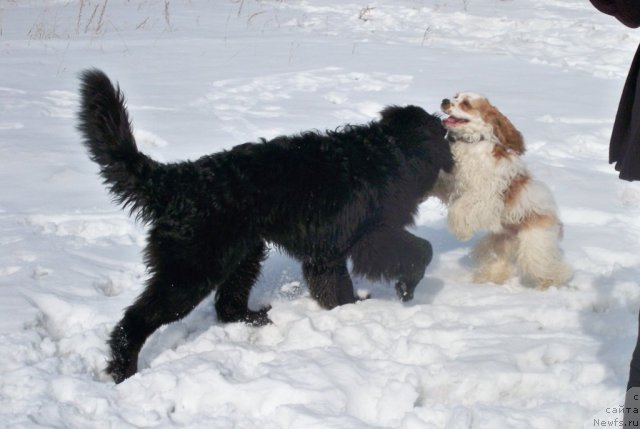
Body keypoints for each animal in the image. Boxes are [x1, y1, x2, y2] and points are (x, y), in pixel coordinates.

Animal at [77, 69, 452, 382]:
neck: (386, 152)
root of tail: (177, 181)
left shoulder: (326, 253)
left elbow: (334, 286)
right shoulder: (367, 237)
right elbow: (421, 250)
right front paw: (402, 290)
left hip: (242, 253)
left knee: (227, 306)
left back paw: (254, 319)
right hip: (191, 270)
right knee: (133, 322)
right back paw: (124, 372)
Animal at [438, 92, 572, 290]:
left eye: (466, 104)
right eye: (455, 96)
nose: (445, 101)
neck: (472, 144)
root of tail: (556, 221)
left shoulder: (485, 195)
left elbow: (459, 208)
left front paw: (461, 230)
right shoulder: (452, 183)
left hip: (534, 244)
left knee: (548, 268)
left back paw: (552, 282)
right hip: (501, 242)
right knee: (500, 263)